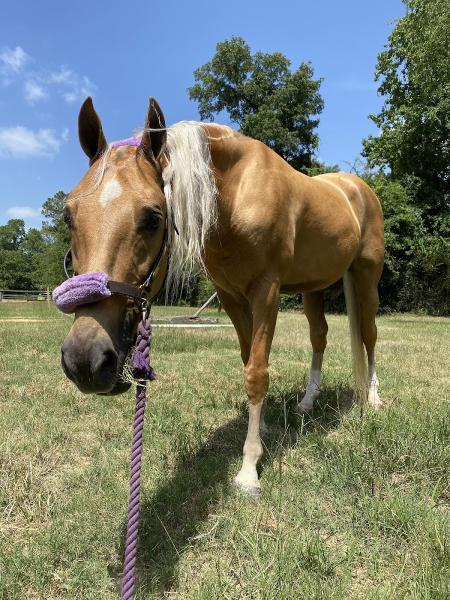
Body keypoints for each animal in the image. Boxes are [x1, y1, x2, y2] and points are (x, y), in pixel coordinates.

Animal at [59, 96, 384, 494]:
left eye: (153, 217)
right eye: (69, 216)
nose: (85, 361)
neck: (236, 196)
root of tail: (356, 187)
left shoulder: (266, 292)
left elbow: (257, 372)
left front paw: (249, 468)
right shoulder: (229, 297)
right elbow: (249, 363)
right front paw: (262, 429)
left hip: (367, 277)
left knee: (368, 335)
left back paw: (373, 397)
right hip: (314, 288)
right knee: (319, 337)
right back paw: (308, 403)